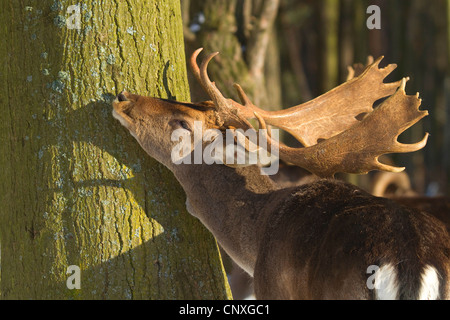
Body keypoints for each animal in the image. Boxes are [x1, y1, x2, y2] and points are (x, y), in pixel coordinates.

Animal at [113, 48, 450, 300]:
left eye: (183, 122)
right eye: (199, 101)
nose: (122, 97)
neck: (256, 240)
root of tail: (413, 259)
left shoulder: (271, 289)